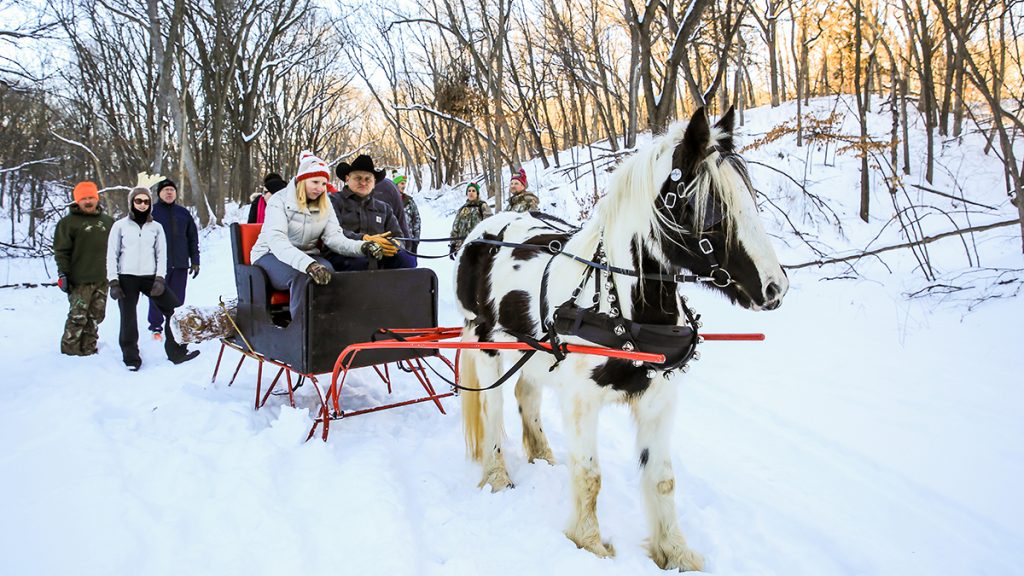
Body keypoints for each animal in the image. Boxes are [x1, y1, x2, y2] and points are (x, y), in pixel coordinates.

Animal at [452, 107, 786, 569]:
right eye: (710, 209)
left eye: (749, 197)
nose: (775, 287)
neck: (626, 310)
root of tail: (482, 230)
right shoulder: (580, 401)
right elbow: (590, 476)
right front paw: (589, 542)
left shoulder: (658, 400)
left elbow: (662, 480)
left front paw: (675, 552)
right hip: (484, 342)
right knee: (491, 409)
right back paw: (497, 475)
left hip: (533, 352)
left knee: (526, 395)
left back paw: (542, 455)